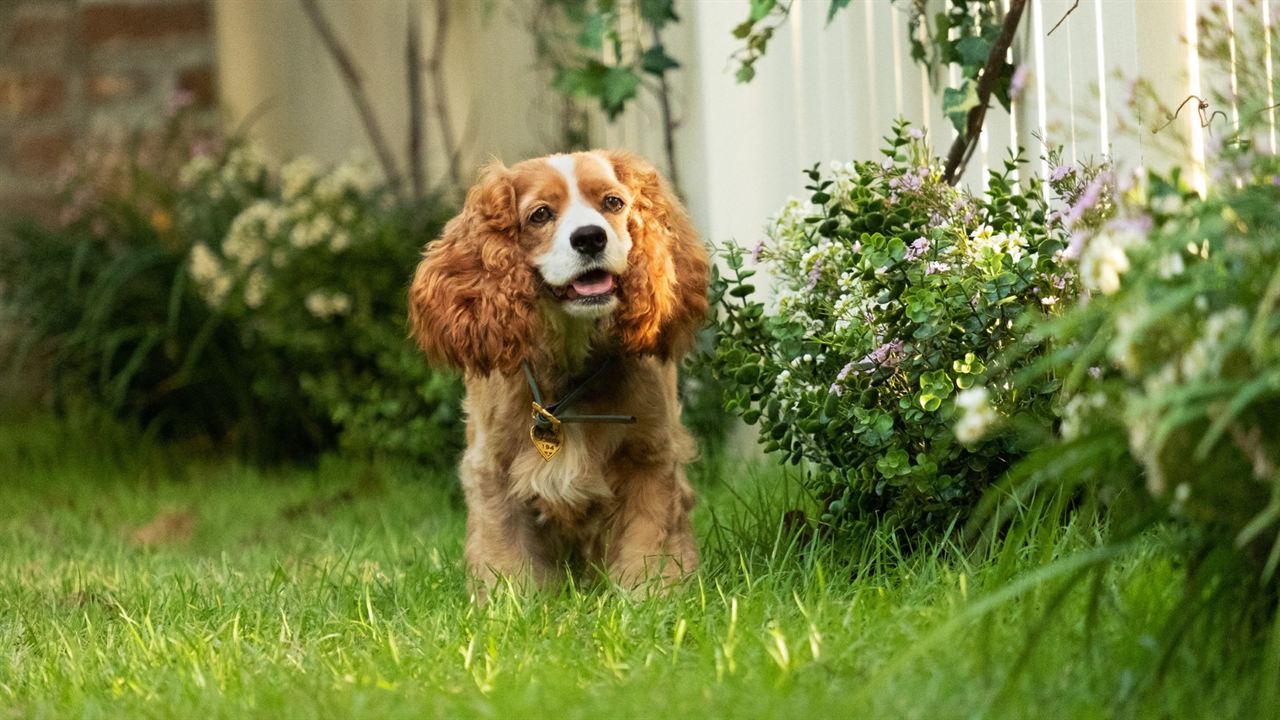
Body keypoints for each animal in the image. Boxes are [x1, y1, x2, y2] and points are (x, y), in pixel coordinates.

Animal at [409, 148, 711, 591]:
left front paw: (651, 596)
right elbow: (507, 557)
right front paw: (511, 601)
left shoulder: (650, 458)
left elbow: (646, 547)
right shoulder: (494, 470)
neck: (570, 358)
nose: (590, 237)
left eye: (613, 203)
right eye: (540, 215)